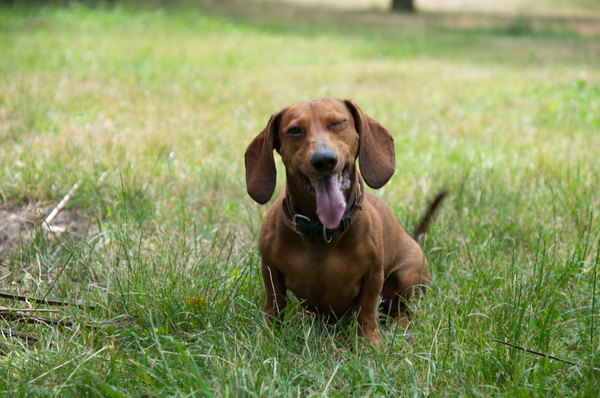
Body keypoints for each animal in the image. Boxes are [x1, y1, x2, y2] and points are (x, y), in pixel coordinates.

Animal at [245, 98, 446, 344]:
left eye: (338, 123)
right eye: (294, 131)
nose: (324, 160)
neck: (322, 231)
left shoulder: (373, 277)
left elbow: (367, 312)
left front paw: (368, 344)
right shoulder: (270, 269)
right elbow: (274, 304)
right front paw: (266, 336)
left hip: (407, 276)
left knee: (402, 311)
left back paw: (399, 328)